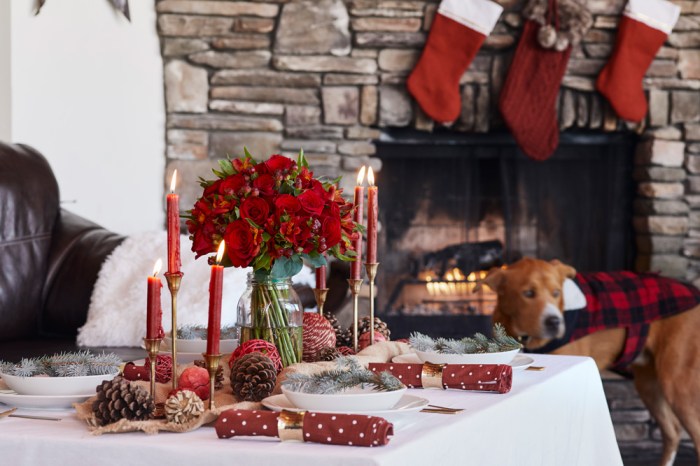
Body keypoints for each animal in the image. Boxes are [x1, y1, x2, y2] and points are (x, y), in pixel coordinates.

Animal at [478, 256, 700, 464]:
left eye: (556, 293)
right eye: (528, 293)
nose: (554, 321)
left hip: (677, 382)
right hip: (648, 383)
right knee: (673, 431)